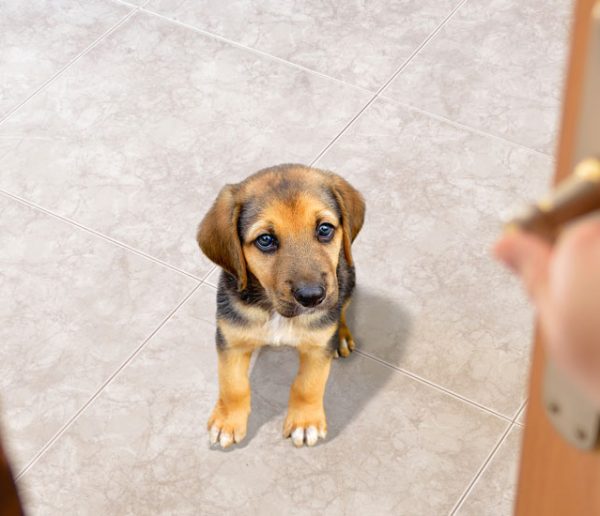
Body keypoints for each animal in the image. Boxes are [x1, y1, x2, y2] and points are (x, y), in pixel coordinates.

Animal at [198, 165, 366, 448]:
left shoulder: (317, 346)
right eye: (265, 240)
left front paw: (305, 422)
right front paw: (228, 421)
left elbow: (308, 385)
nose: (312, 297)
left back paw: (341, 336)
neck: (275, 310)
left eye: (325, 229)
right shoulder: (231, 340)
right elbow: (232, 385)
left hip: (347, 277)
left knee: (341, 307)